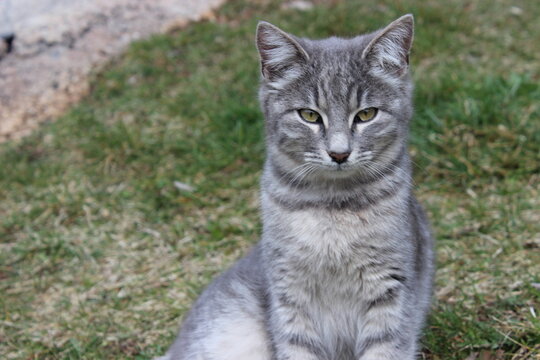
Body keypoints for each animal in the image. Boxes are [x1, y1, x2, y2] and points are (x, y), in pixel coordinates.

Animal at [158, 14, 436, 360]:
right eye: (309, 115)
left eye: (366, 114)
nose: (339, 153)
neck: (332, 209)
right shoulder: (289, 294)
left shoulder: (390, 290)